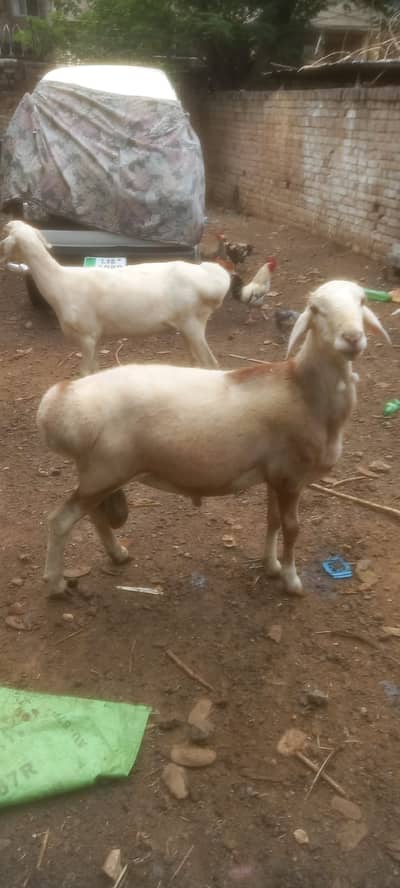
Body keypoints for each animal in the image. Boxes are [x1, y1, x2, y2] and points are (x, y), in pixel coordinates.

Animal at [0, 220, 232, 374]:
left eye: (6, 237)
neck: (59, 283)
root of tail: (215, 279)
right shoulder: (95, 337)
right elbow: (94, 370)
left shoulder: (86, 336)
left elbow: (85, 372)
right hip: (185, 326)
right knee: (197, 362)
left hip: (194, 323)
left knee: (211, 364)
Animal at [37, 280, 390, 599]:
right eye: (316, 309)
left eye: (361, 301)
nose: (352, 338)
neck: (304, 390)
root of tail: (59, 403)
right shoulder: (291, 476)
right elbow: (292, 528)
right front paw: (291, 581)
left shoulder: (275, 475)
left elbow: (273, 521)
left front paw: (271, 566)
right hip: (104, 471)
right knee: (59, 521)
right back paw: (56, 585)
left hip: (99, 475)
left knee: (93, 514)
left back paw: (118, 554)